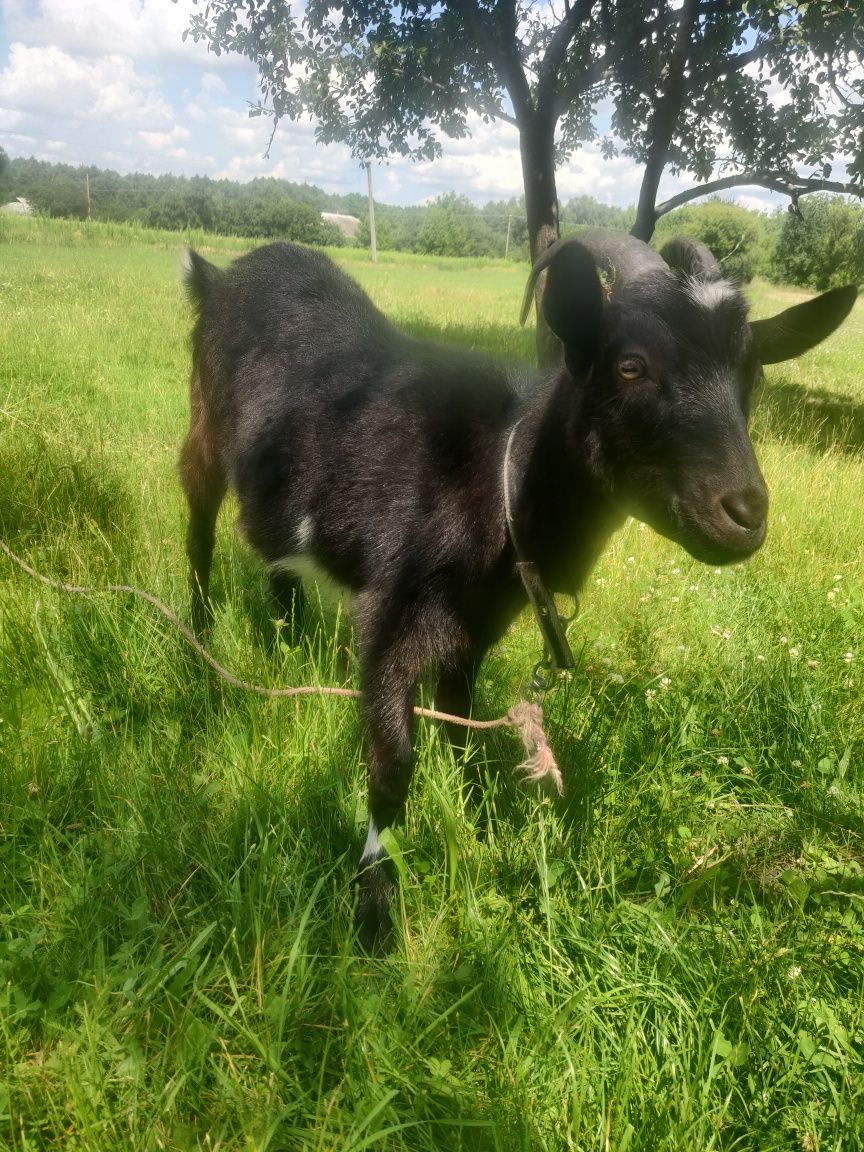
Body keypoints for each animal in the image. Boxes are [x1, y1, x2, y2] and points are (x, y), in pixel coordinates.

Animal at [179, 231, 857, 944]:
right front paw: (375, 910)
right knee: (198, 526)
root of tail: (223, 275)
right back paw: (198, 639)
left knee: (276, 560)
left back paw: (286, 639)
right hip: (203, 426)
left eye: (752, 374)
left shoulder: (472, 625)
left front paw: (474, 822)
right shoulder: (389, 613)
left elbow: (459, 723)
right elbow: (393, 762)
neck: (493, 477)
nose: (744, 515)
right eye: (630, 365)